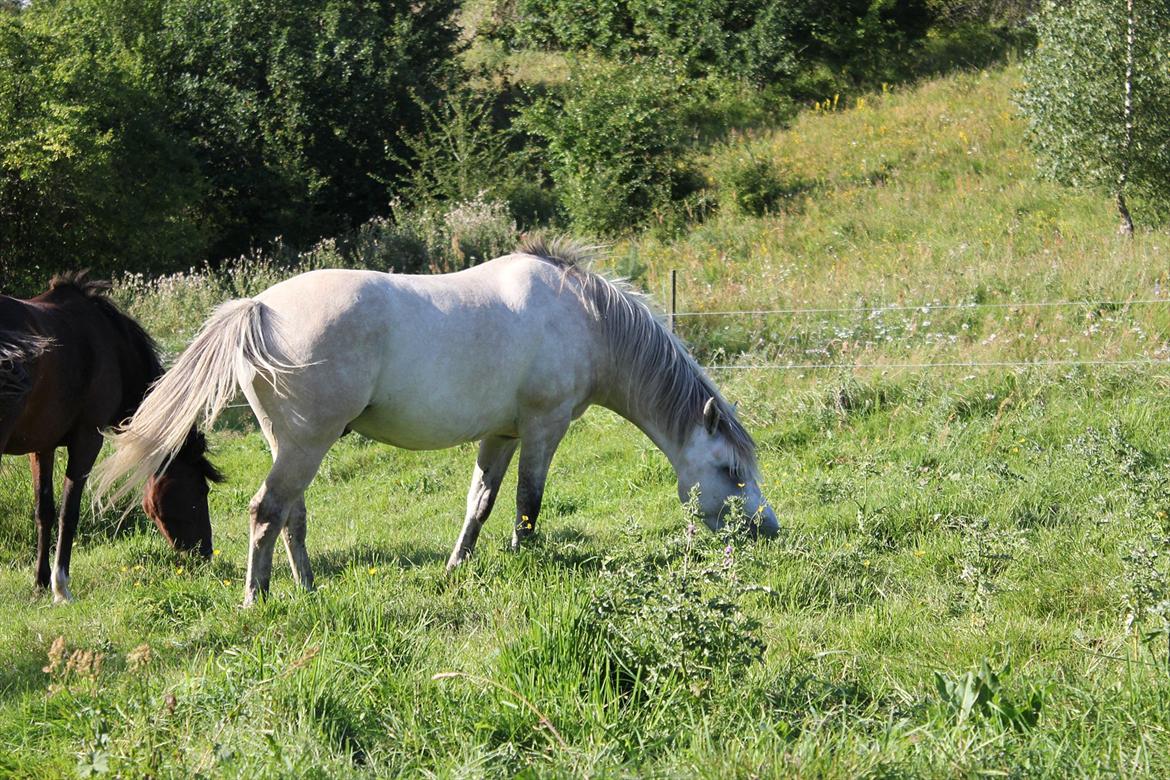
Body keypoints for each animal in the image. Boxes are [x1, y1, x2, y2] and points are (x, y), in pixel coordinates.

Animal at [0, 271, 219, 603]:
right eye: (200, 489)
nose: (206, 551)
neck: (112, 348)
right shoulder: (87, 440)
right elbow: (69, 512)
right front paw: (60, 587)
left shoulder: (42, 447)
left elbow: (44, 511)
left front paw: (39, 582)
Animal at [93, 238, 776, 603]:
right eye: (732, 472)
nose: (767, 531)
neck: (584, 316)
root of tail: (257, 306)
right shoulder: (543, 427)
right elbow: (528, 504)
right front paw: (525, 562)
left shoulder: (501, 434)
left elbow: (480, 502)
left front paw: (457, 567)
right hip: (305, 444)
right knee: (267, 511)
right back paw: (256, 601)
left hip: (292, 443)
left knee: (291, 515)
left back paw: (309, 590)